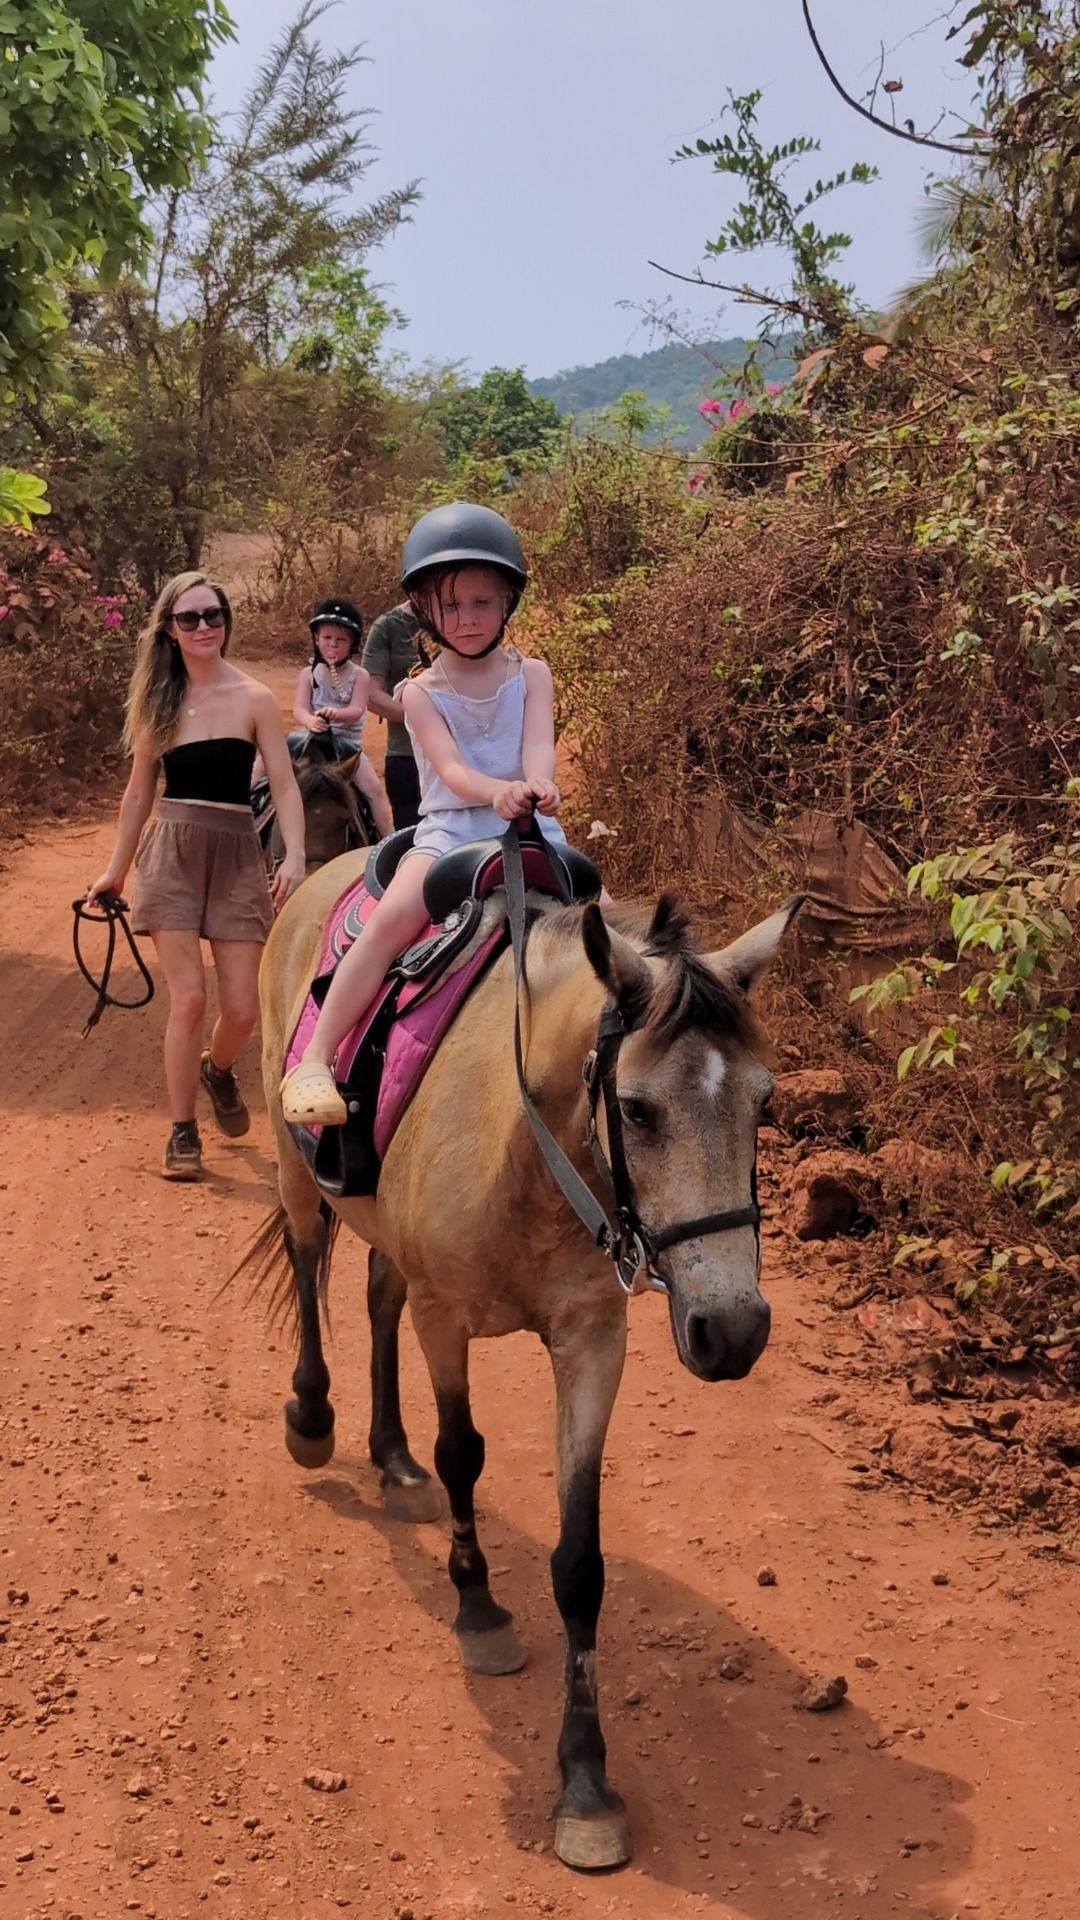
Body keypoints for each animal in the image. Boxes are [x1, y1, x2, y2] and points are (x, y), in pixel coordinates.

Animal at [244, 849, 801, 1871]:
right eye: (637, 1110)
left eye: (765, 1101)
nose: (733, 1329)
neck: (533, 1150)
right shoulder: (448, 1319)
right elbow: (465, 1453)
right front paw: (481, 1613)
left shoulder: (591, 1343)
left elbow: (580, 1562)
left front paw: (584, 1780)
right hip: (297, 1164)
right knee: (308, 1261)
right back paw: (315, 1421)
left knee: (376, 1294)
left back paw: (392, 1458)